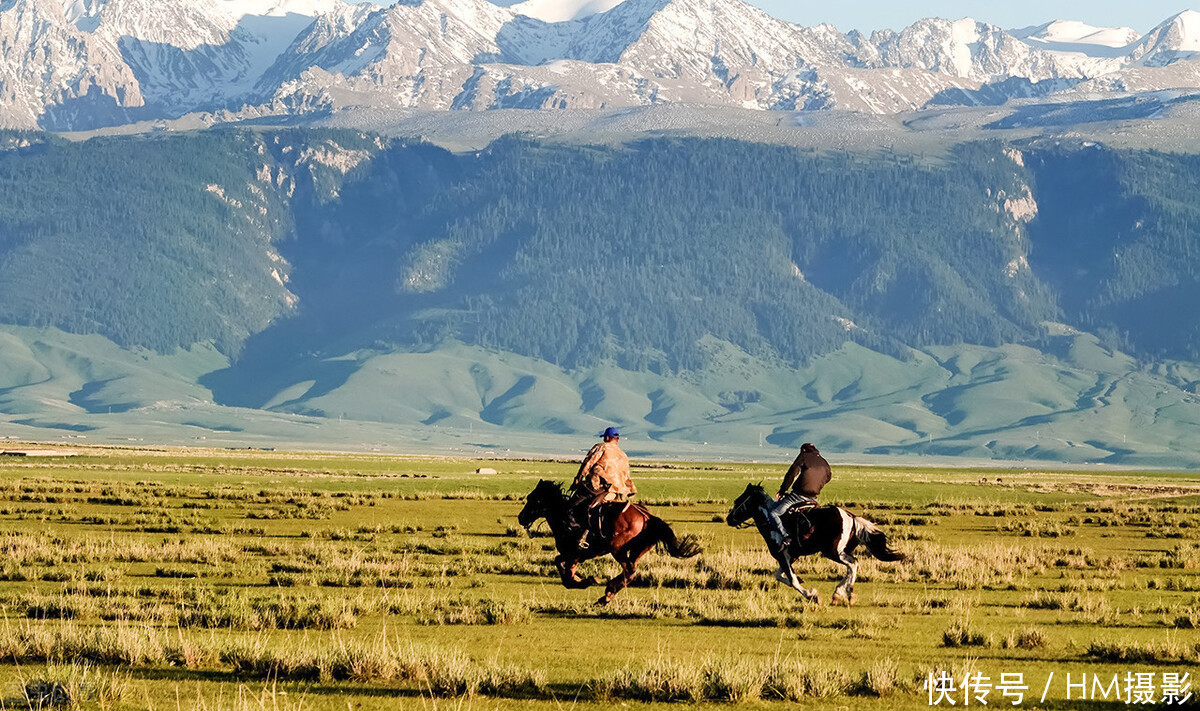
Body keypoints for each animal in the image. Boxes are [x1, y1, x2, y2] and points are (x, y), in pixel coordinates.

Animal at [518, 478, 700, 605]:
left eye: (534, 499)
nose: (521, 518)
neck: (563, 516)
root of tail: (646, 516)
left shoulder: (574, 553)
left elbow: (563, 568)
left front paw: (586, 581)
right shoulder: (575, 556)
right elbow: (564, 567)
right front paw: (579, 580)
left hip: (617, 549)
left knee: (629, 570)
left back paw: (606, 594)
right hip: (638, 549)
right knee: (630, 572)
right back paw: (607, 595)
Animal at [720, 482, 902, 605]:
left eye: (738, 501)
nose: (729, 519)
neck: (771, 522)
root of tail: (851, 517)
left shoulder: (782, 555)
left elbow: (792, 580)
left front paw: (812, 595)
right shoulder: (789, 556)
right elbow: (780, 576)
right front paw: (806, 586)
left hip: (834, 552)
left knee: (853, 563)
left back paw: (846, 593)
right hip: (841, 551)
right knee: (852, 566)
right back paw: (839, 594)